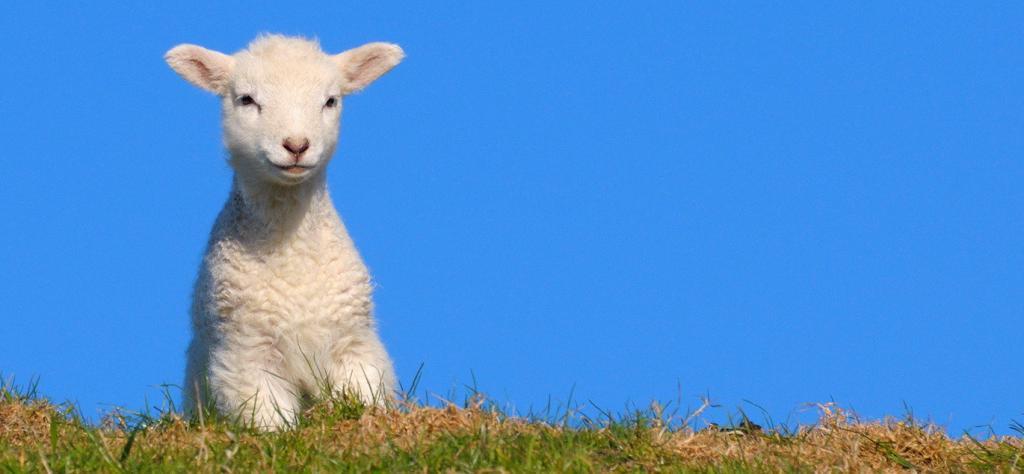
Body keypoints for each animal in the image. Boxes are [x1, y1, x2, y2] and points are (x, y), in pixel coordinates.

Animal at [165, 34, 405, 429]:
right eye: (246, 99)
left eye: (330, 100)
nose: (296, 145)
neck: (291, 248)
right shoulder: (248, 353)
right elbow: (270, 420)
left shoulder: (352, 344)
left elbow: (360, 397)